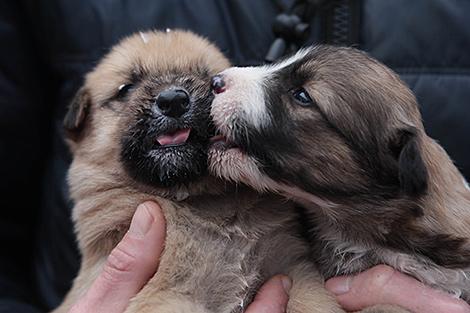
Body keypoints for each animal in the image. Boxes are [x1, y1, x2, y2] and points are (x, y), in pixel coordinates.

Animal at [55, 31, 344, 312]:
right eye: (126, 88)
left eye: (207, 78)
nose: (173, 100)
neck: (198, 201)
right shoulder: (167, 294)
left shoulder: (293, 269)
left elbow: (314, 303)